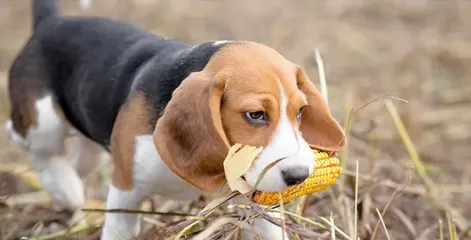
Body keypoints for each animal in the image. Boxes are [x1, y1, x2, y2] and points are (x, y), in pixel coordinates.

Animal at [4, 0, 346, 239]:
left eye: (300, 112)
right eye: (255, 115)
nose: (299, 175)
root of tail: (52, 21)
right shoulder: (127, 190)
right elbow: (118, 227)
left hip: (88, 141)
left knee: (77, 161)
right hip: (44, 122)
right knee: (31, 143)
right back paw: (64, 188)